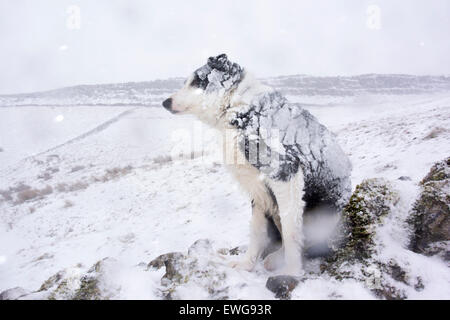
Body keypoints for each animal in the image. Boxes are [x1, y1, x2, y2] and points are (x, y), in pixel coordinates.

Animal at [162, 53, 352, 274]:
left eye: (198, 82)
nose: (165, 102)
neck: (238, 107)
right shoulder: (257, 188)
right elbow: (257, 229)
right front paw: (246, 264)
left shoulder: (286, 173)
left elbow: (291, 229)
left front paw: (292, 272)